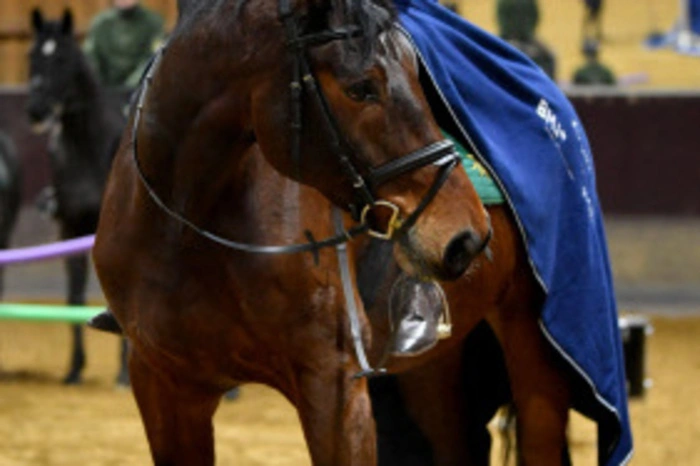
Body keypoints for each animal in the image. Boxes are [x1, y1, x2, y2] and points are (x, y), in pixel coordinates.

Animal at [26, 9, 129, 386]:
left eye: (62, 58)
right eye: (32, 56)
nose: (36, 110)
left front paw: (123, 374)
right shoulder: (69, 228)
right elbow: (74, 295)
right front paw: (74, 368)